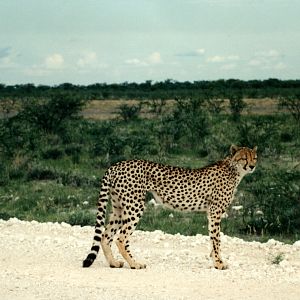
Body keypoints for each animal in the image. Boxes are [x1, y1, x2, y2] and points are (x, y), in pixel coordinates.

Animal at [83, 145, 256, 270]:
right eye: (243, 158)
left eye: (254, 157)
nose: (252, 166)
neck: (233, 169)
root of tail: (117, 164)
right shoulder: (215, 212)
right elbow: (216, 239)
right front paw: (219, 263)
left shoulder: (213, 213)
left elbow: (214, 239)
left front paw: (214, 259)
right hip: (135, 206)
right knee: (121, 238)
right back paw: (135, 264)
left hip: (119, 208)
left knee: (105, 236)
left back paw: (114, 263)